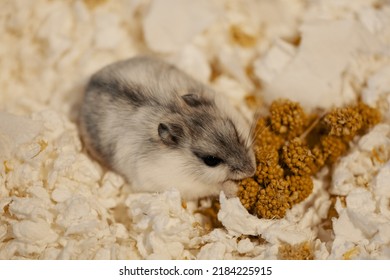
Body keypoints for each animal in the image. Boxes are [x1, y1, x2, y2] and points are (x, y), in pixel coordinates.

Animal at [79, 55, 256, 199]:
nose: (252, 170)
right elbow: (215, 186)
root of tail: (90, 81)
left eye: (235, 132)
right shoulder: (183, 183)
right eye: (211, 160)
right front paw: (234, 188)